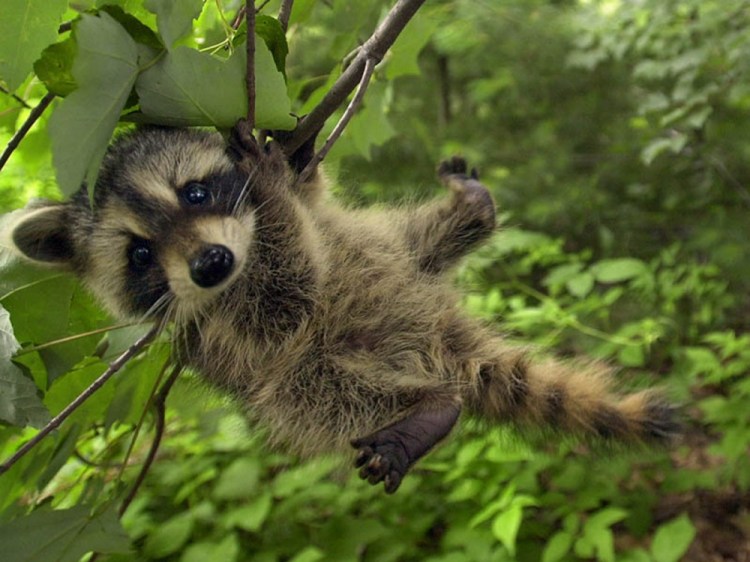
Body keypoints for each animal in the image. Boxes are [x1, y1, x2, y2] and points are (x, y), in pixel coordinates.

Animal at [6, 122, 677, 493]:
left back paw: (470, 210)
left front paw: (288, 166)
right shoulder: (228, 327)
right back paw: (428, 408)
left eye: (194, 193)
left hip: (395, 253)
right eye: (140, 254)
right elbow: (288, 303)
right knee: (315, 391)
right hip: (313, 374)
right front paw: (272, 193)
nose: (211, 264)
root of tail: (441, 344)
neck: (243, 256)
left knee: (421, 237)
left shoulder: (314, 219)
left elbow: (312, 193)